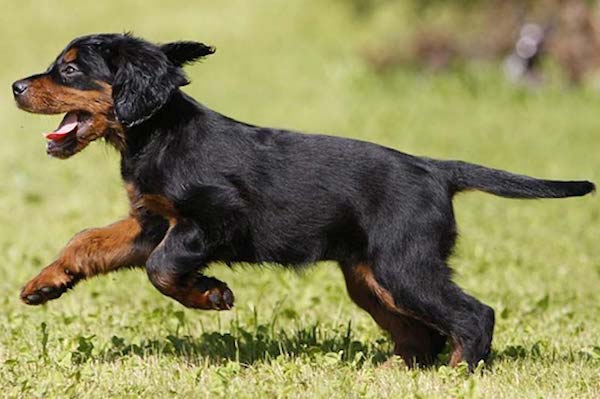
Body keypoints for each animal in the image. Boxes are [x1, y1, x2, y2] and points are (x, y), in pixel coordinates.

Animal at [11, 34, 592, 372]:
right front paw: (46, 283)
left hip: (403, 266)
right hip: (370, 276)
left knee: (474, 315)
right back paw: (393, 374)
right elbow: (88, 240)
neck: (156, 133)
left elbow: (161, 268)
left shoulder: (212, 217)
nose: (15, 86)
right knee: (419, 334)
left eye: (69, 70)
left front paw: (211, 294)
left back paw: (458, 375)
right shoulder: (152, 220)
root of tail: (435, 169)